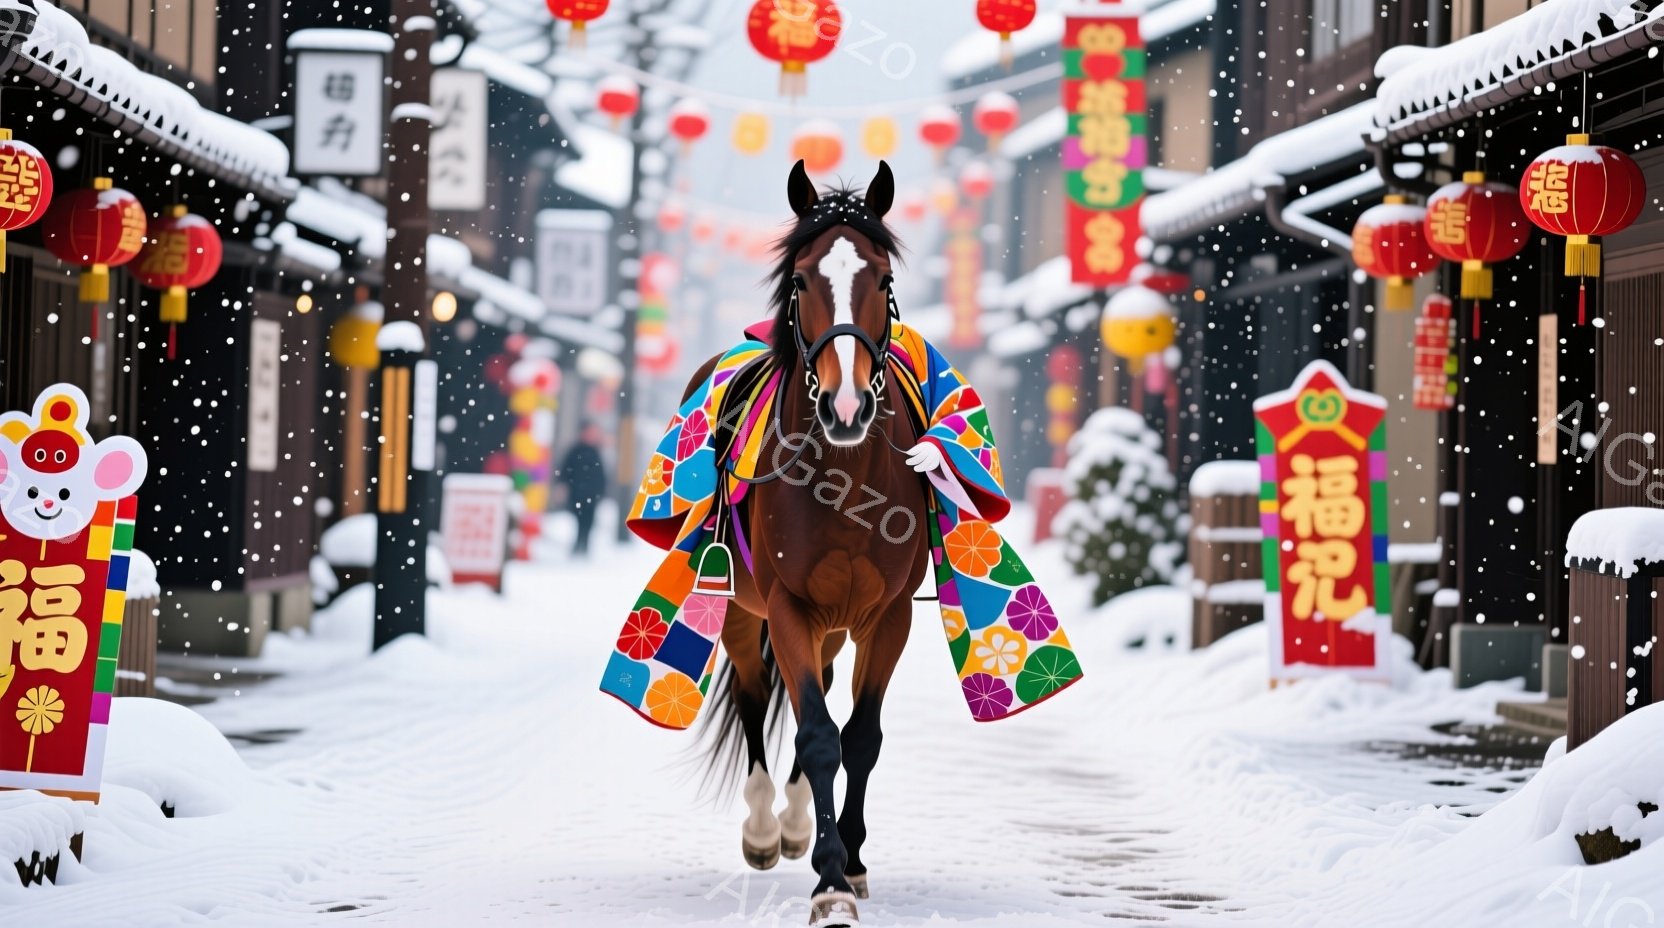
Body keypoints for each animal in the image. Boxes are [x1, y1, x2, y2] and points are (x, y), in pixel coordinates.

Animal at [687, 160, 931, 927]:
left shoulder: (888, 615)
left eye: (882, 280)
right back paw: (770, 829)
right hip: (744, 609)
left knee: (816, 691)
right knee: (753, 695)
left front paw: (847, 861)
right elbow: (818, 735)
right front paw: (827, 880)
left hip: (835, 623)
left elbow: (859, 738)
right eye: (800, 280)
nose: (846, 405)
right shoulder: (787, 605)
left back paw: (798, 822)